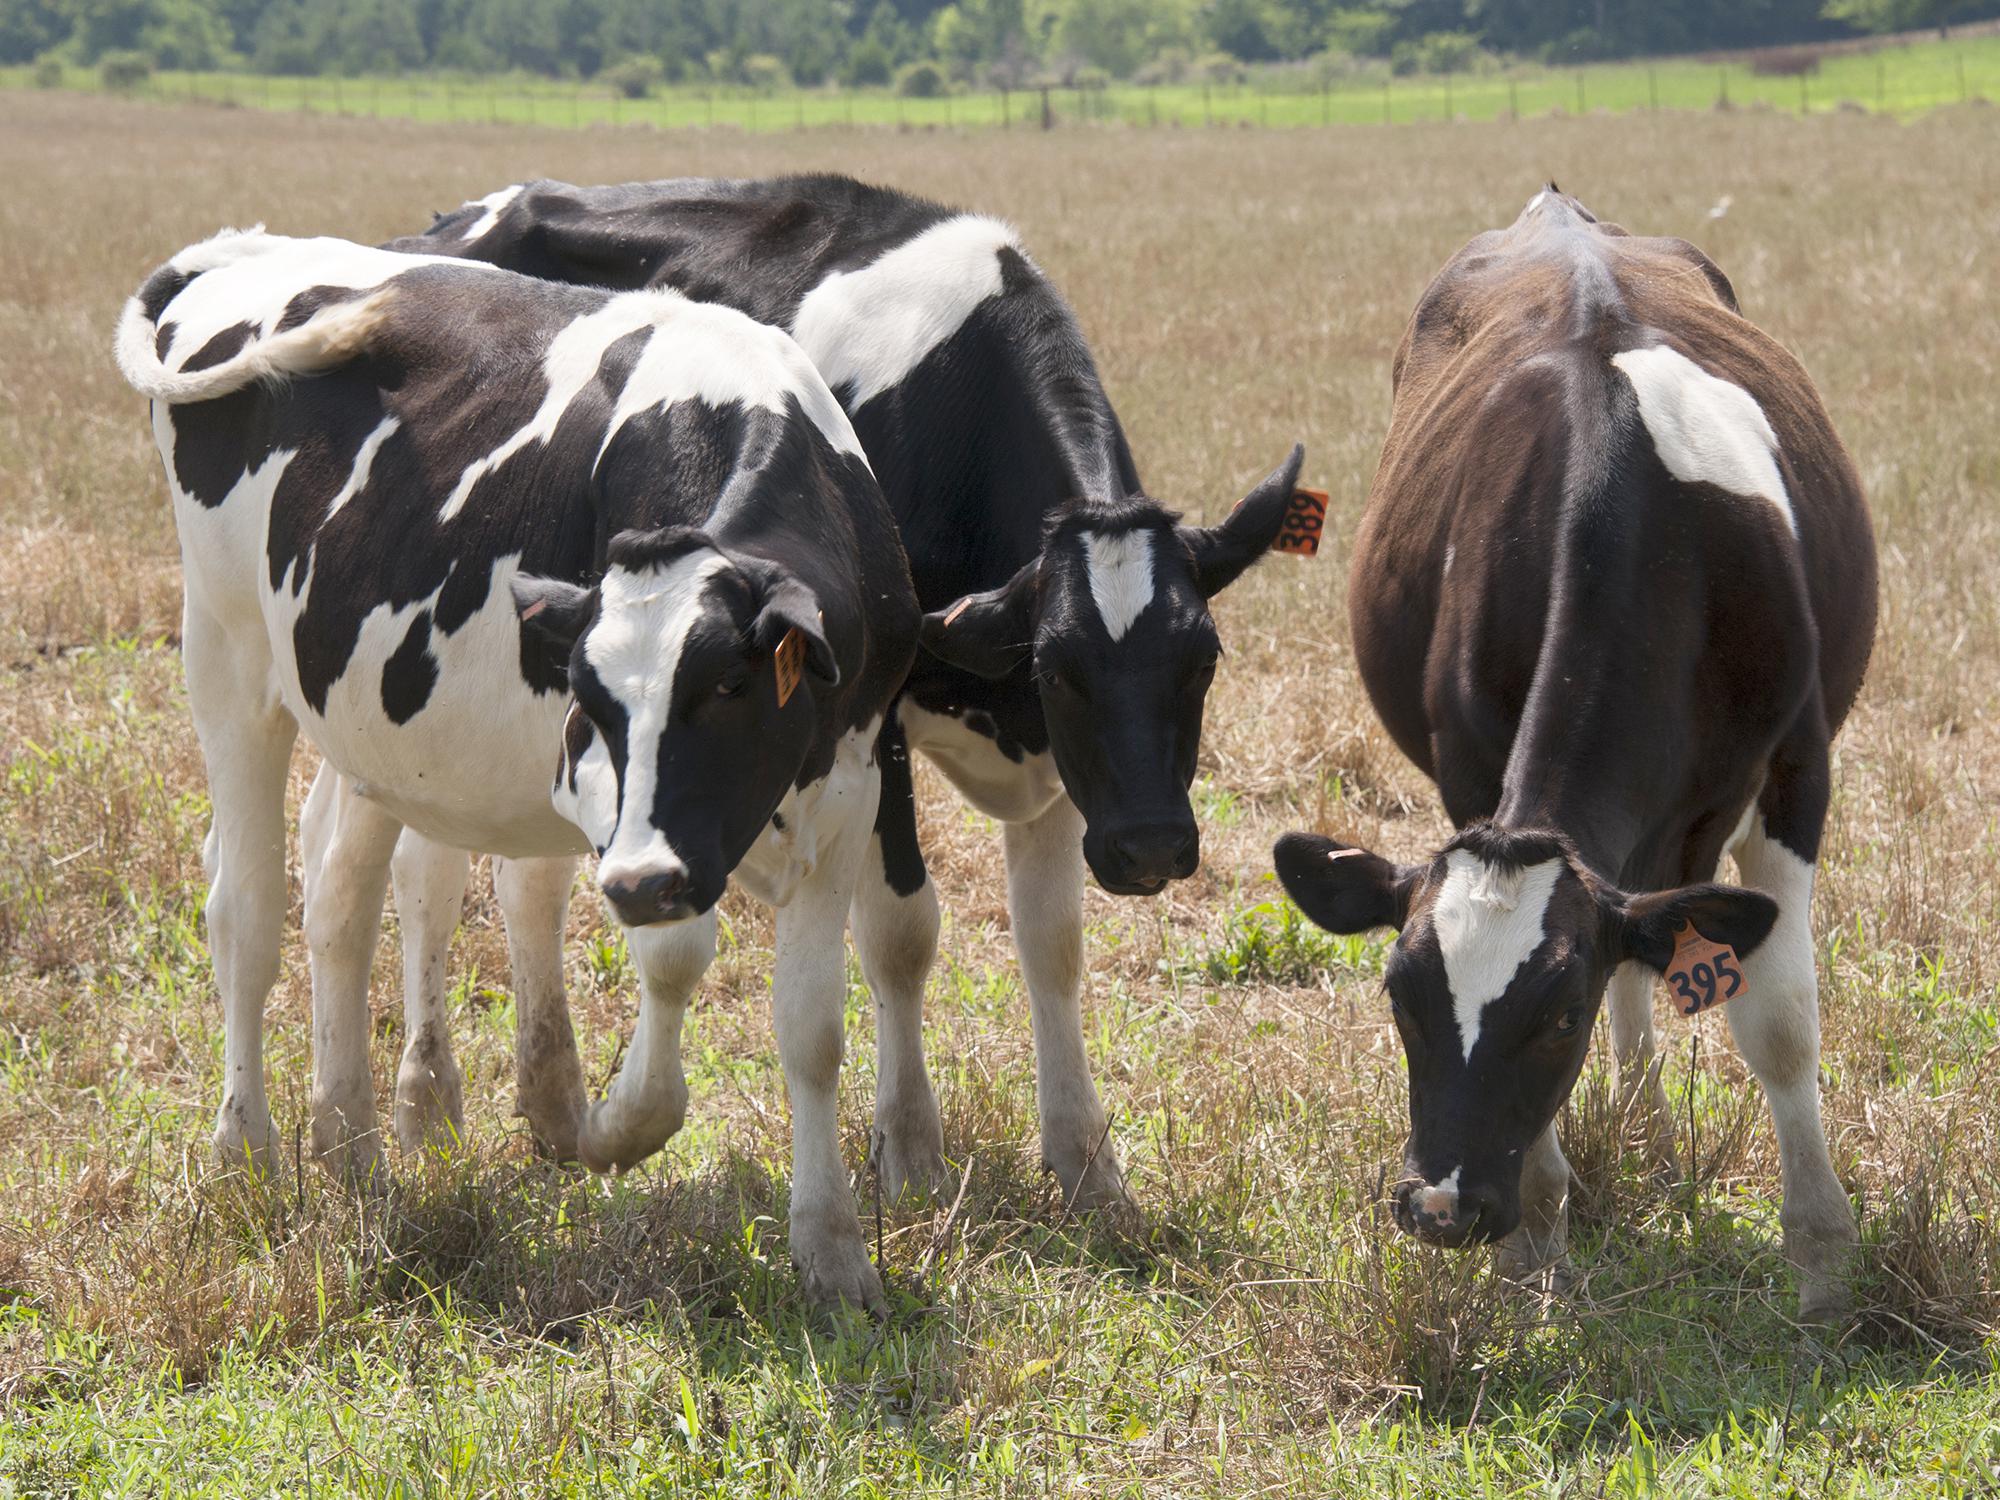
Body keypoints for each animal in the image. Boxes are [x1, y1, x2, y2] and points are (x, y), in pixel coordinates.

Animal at [115, 229, 916, 1312]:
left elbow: (813, 1031)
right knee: (245, 911)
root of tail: (241, 252)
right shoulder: (604, 799)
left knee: (339, 893)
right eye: (593, 702)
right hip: (227, 652)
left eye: (726, 688)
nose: (643, 878)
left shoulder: (846, 788)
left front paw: (832, 1256)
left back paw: (352, 1142)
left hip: (363, 716)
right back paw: (248, 1155)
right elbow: (669, 953)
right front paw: (614, 1125)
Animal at [332, 176, 1312, 1208]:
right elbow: (902, 932)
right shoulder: (878, 722)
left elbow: (1052, 941)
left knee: (520, 877)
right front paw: (909, 1154)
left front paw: (1089, 1167)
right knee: (429, 871)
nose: (1152, 844)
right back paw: (429, 1110)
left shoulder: (1056, 758)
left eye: (1203, 659)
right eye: (1058, 668)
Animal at [1280, 191, 1872, 1328]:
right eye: (1399, 995)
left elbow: (1777, 1021)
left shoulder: (1794, 777)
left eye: (1558, 1016)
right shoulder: (1471, 773)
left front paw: (1822, 1258)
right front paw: (1536, 1242)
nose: (1438, 1206)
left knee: (1652, 944)